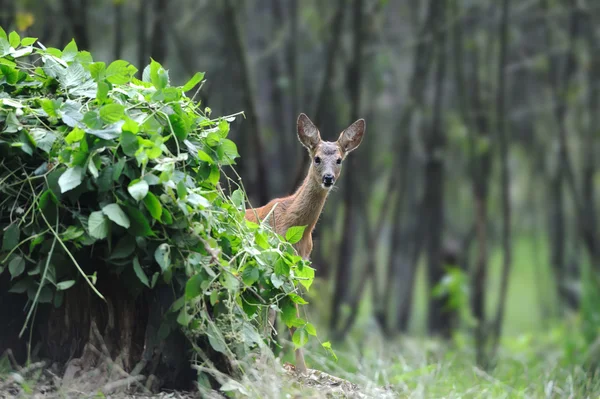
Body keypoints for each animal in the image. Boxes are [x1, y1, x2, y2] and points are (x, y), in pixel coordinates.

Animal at [244, 113, 366, 376]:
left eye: (339, 159)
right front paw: (264, 358)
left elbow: (292, 318)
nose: (328, 178)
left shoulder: (296, 267)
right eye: (317, 158)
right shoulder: (270, 259)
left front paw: (301, 367)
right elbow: (271, 313)